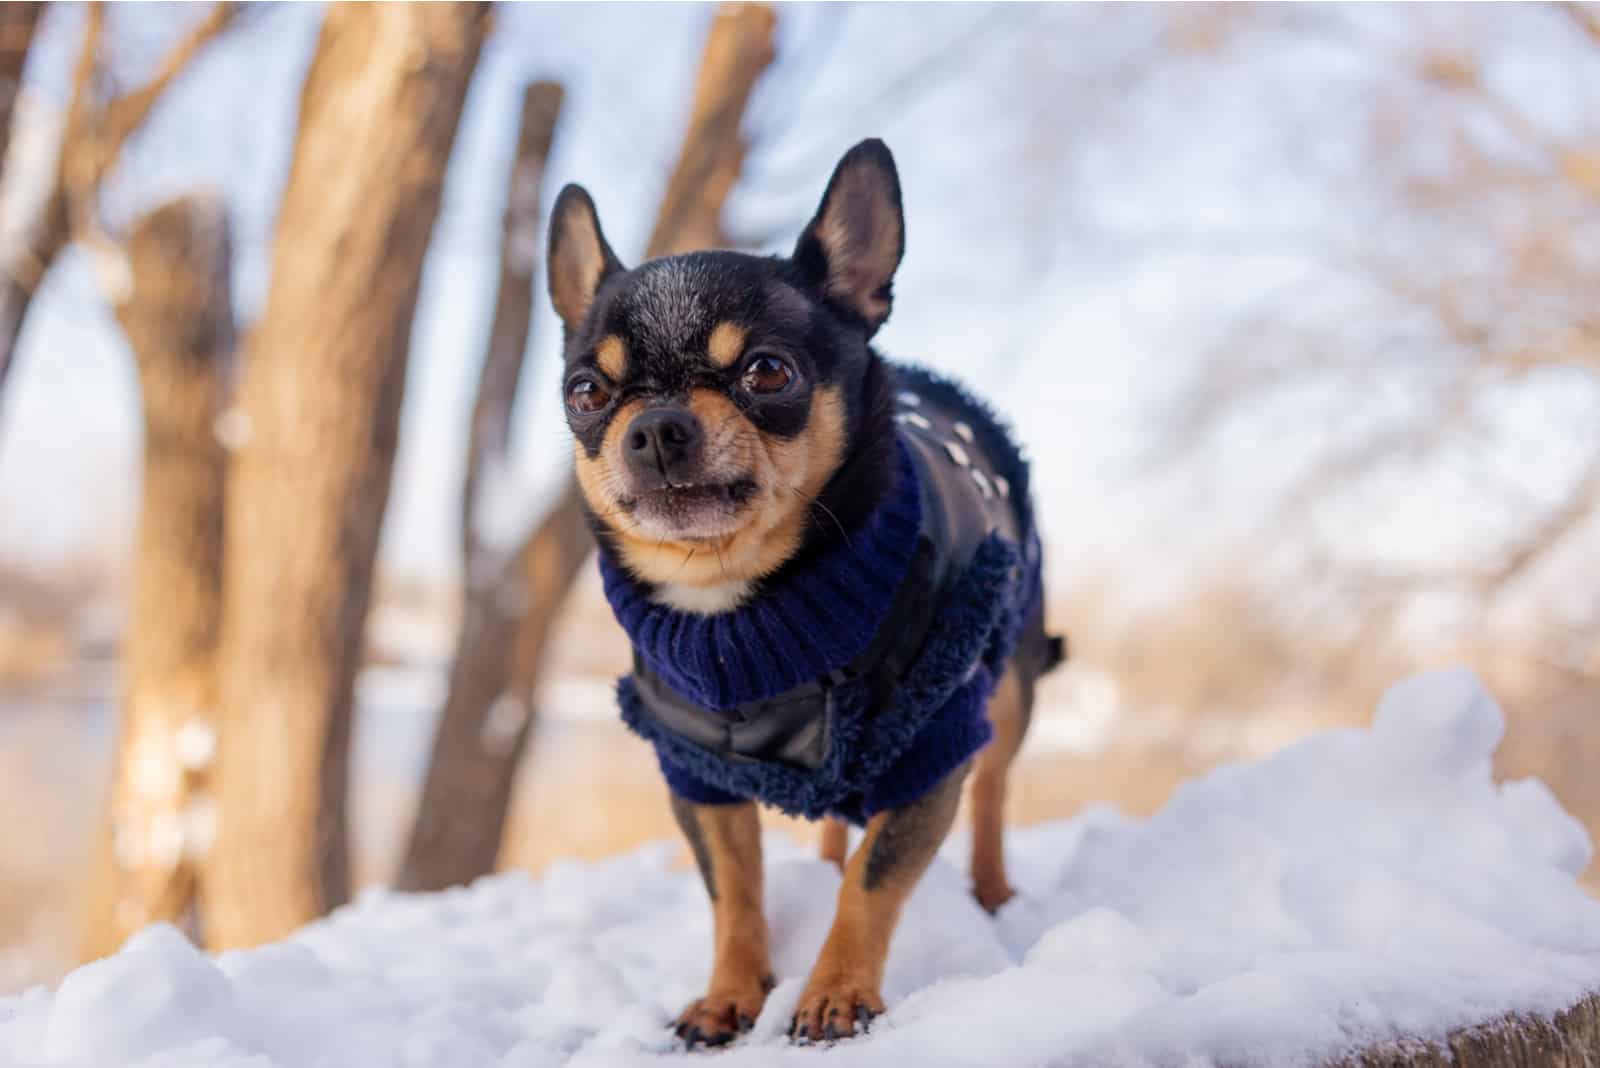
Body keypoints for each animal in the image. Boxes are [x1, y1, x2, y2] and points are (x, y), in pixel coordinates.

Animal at [547, 137, 1062, 1048]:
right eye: (586, 393)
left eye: (767, 371)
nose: (656, 427)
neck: (738, 608)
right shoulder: (699, 773)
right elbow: (734, 892)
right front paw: (728, 995)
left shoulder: (932, 748)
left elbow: (873, 880)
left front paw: (837, 993)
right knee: (832, 821)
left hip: (1005, 692)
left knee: (994, 793)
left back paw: (994, 892)